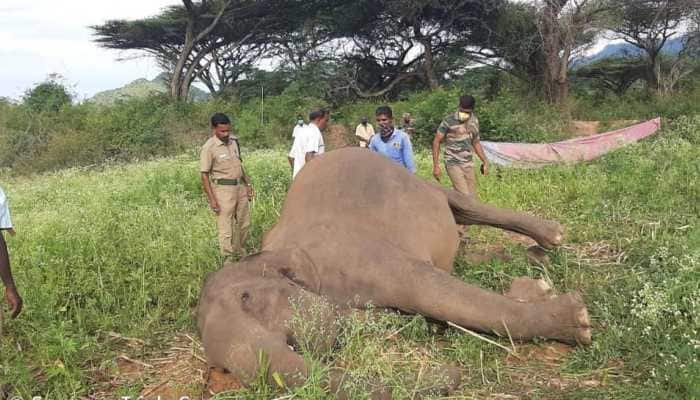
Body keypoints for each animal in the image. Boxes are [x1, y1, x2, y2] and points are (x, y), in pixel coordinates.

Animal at [197, 148, 592, 396]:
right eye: (220, 368)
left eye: (247, 298)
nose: (455, 375)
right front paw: (537, 289)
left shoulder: (360, 255)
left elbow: (428, 290)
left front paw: (579, 321)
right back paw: (536, 263)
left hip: (417, 180)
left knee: (461, 204)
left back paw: (552, 237)